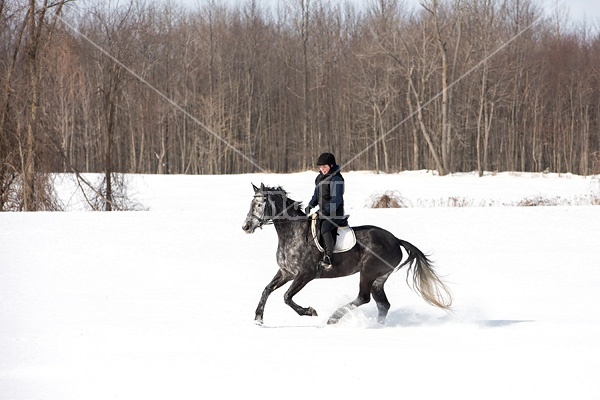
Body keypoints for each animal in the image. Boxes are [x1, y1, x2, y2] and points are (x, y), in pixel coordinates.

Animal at [241, 183, 452, 326]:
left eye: (259, 204)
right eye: (251, 203)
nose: (246, 227)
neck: (293, 233)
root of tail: (395, 240)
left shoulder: (305, 275)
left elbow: (286, 297)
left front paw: (309, 311)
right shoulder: (286, 273)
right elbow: (266, 290)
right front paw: (258, 318)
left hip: (368, 272)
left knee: (364, 298)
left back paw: (333, 318)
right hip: (379, 278)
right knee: (383, 304)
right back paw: (376, 326)